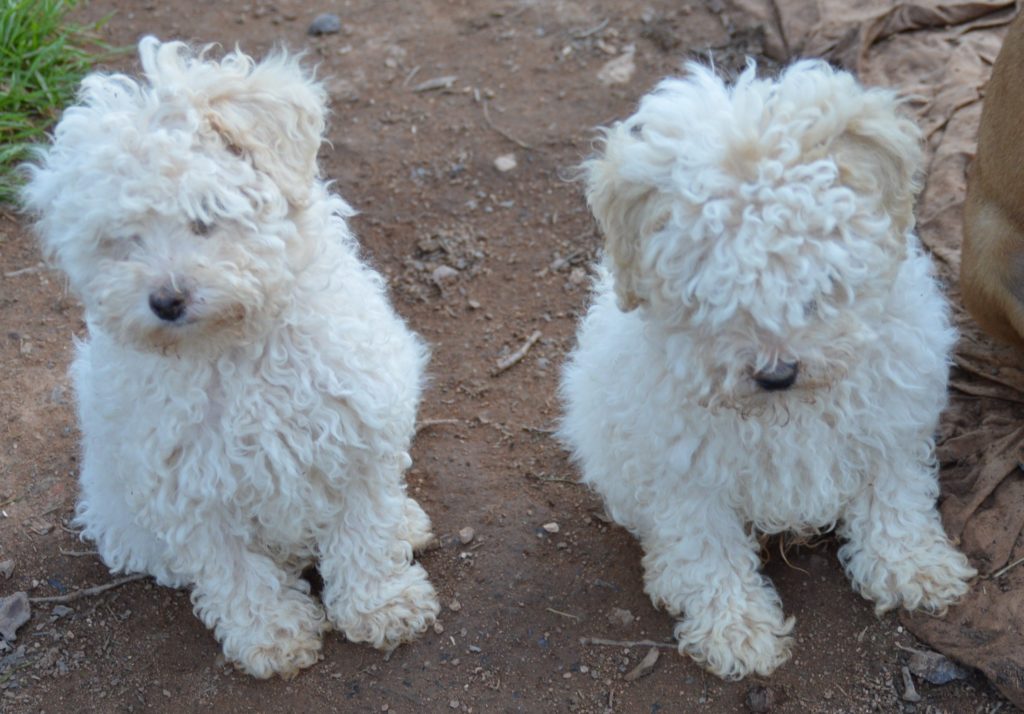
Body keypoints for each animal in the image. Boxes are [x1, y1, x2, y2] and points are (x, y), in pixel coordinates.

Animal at [19, 38, 436, 680]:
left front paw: (381, 604)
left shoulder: (360, 433)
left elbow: (363, 530)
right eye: (121, 239)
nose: (166, 300)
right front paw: (273, 634)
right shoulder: (185, 485)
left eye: (206, 214)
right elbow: (233, 570)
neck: (236, 351)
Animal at [561, 62, 974, 680]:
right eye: (710, 289)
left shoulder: (890, 419)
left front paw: (913, 566)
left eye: (819, 274)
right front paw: (735, 628)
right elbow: (704, 545)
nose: (776, 373)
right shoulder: (682, 467)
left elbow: (894, 494)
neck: (785, 412)